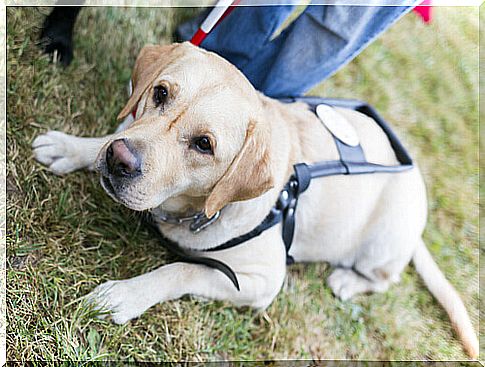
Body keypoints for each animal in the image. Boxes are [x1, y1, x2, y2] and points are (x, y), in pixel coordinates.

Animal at [33, 41, 476, 358]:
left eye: (204, 144)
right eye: (159, 93)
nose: (120, 160)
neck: (194, 209)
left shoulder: (260, 281)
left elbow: (179, 270)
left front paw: (124, 295)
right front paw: (73, 147)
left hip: (382, 245)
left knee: (384, 278)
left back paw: (349, 281)